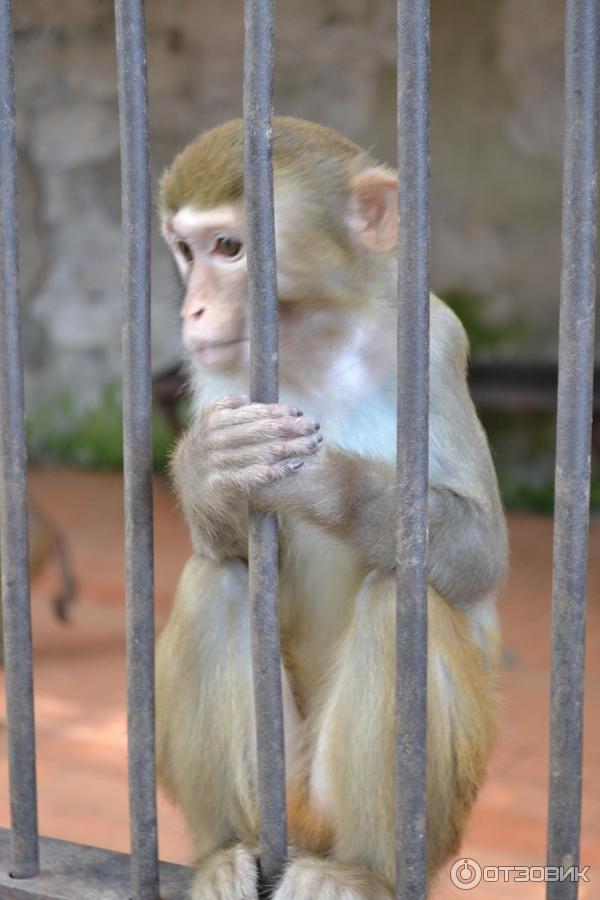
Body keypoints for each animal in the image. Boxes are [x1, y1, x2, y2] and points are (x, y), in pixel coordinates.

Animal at [155, 119, 506, 900]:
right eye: (186, 251)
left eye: (231, 248)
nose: (191, 309)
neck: (314, 343)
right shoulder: (217, 376)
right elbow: (225, 540)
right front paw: (208, 468)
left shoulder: (434, 340)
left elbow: (479, 554)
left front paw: (330, 485)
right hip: (278, 794)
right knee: (217, 579)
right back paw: (223, 854)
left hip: (419, 819)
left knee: (399, 602)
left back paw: (360, 871)